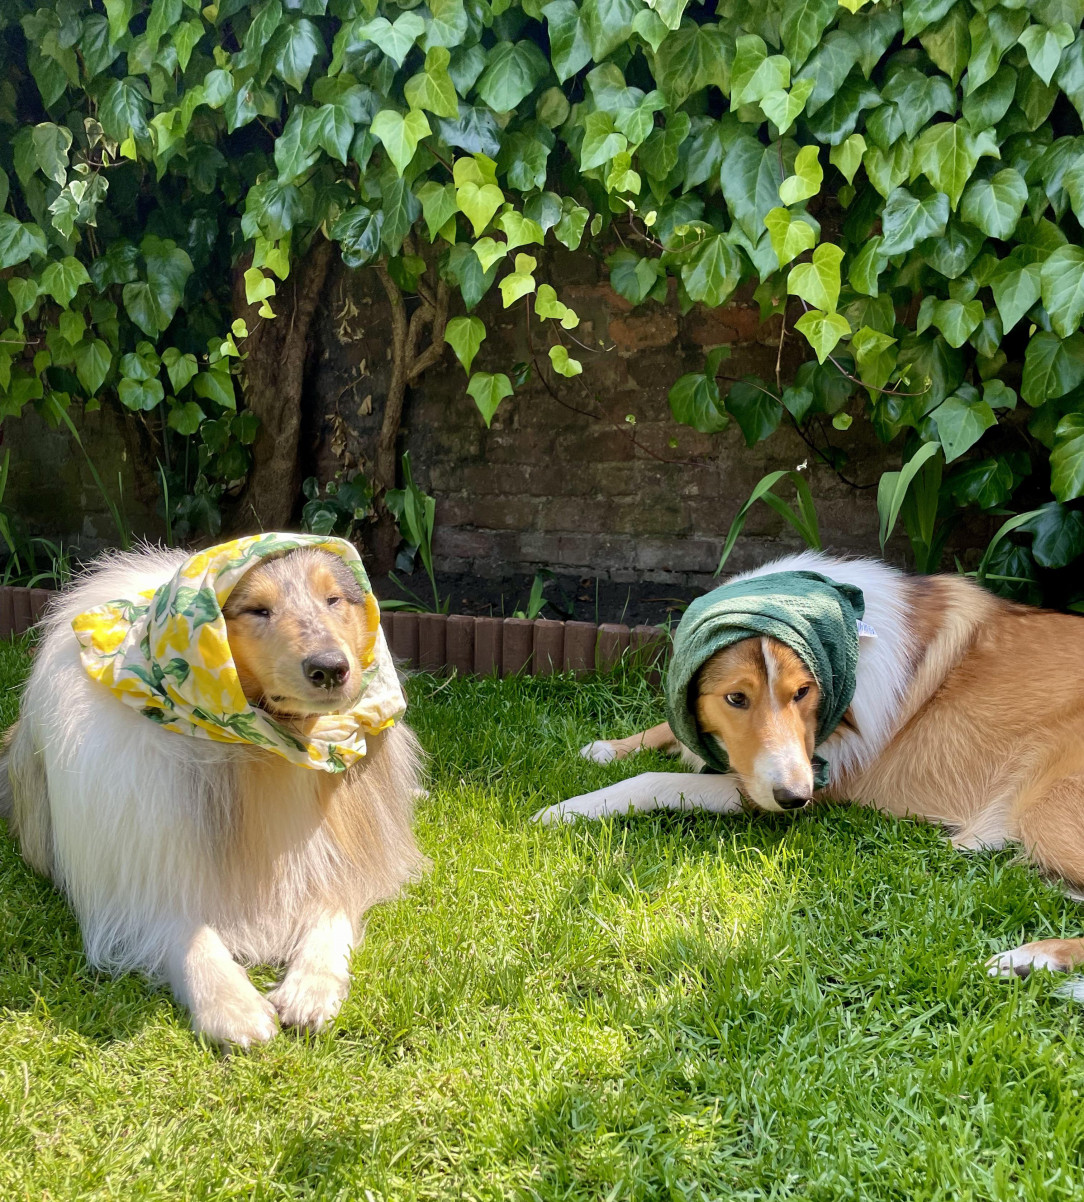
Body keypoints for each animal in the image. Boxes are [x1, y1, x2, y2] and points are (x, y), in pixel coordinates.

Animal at [1, 540, 425, 1048]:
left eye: (333, 600)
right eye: (258, 609)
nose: (330, 668)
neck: (270, 749)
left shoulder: (338, 858)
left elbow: (331, 910)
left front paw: (311, 988)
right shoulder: (139, 884)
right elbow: (187, 934)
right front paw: (233, 1007)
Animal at [538, 552, 1084, 985]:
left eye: (803, 691)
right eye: (735, 698)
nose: (796, 797)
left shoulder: (774, 785)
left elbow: (654, 780)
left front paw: (567, 809)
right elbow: (664, 732)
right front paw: (607, 748)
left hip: (1044, 809)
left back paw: (1030, 958)